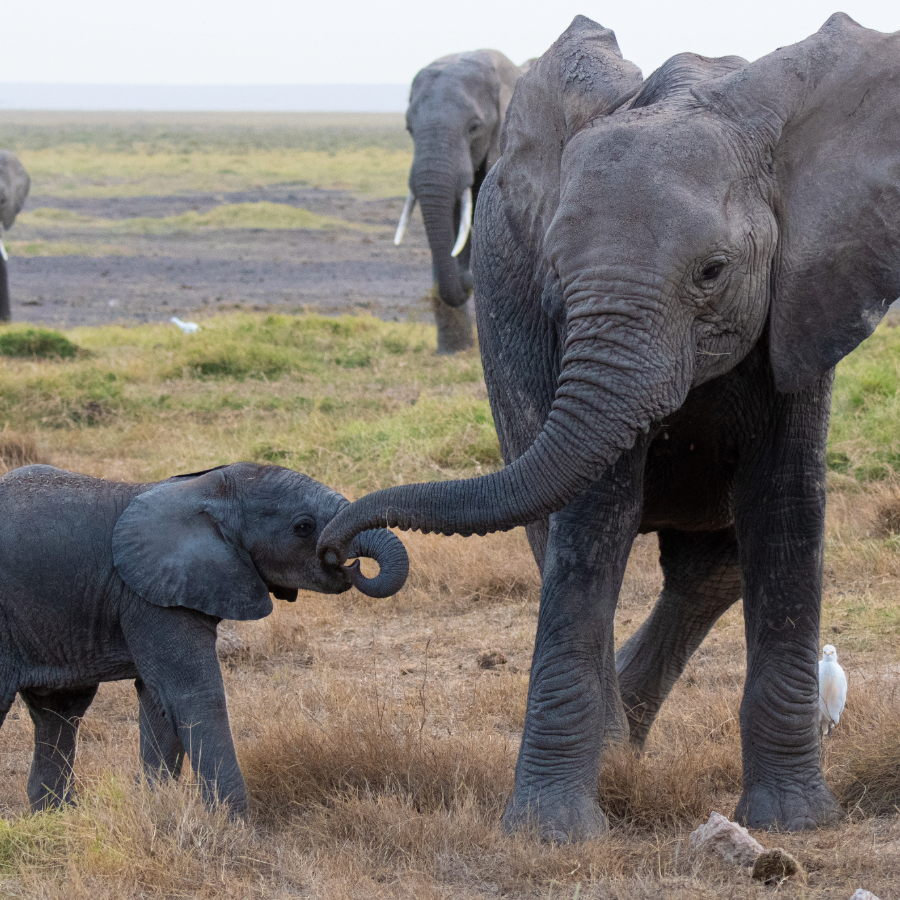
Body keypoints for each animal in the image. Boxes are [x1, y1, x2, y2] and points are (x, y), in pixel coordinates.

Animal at [0, 462, 408, 814]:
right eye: (304, 526)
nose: (350, 563)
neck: (204, 490)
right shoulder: (148, 598)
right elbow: (196, 694)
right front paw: (235, 829)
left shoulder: (156, 593)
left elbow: (158, 701)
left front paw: (155, 808)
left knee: (60, 711)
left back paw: (55, 816)